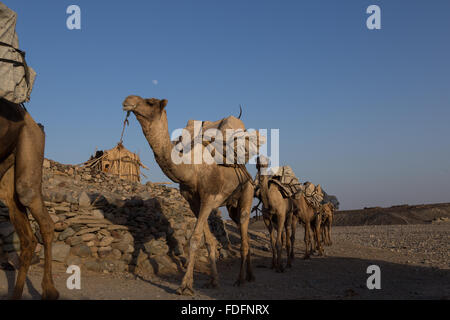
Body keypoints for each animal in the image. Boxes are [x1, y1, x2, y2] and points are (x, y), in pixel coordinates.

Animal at [122, 95, 256, 296]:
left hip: (247, 191)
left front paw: (185, 286)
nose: (127, 100)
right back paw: (249, 276)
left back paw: (241, 279)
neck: (191, 169)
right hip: (231, 204)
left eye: (150, 102)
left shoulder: (209, 197)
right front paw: (212, 281)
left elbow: (194, 239)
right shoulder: (193, 201)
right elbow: (208, 241)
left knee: (244, 231)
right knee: (241, 229)